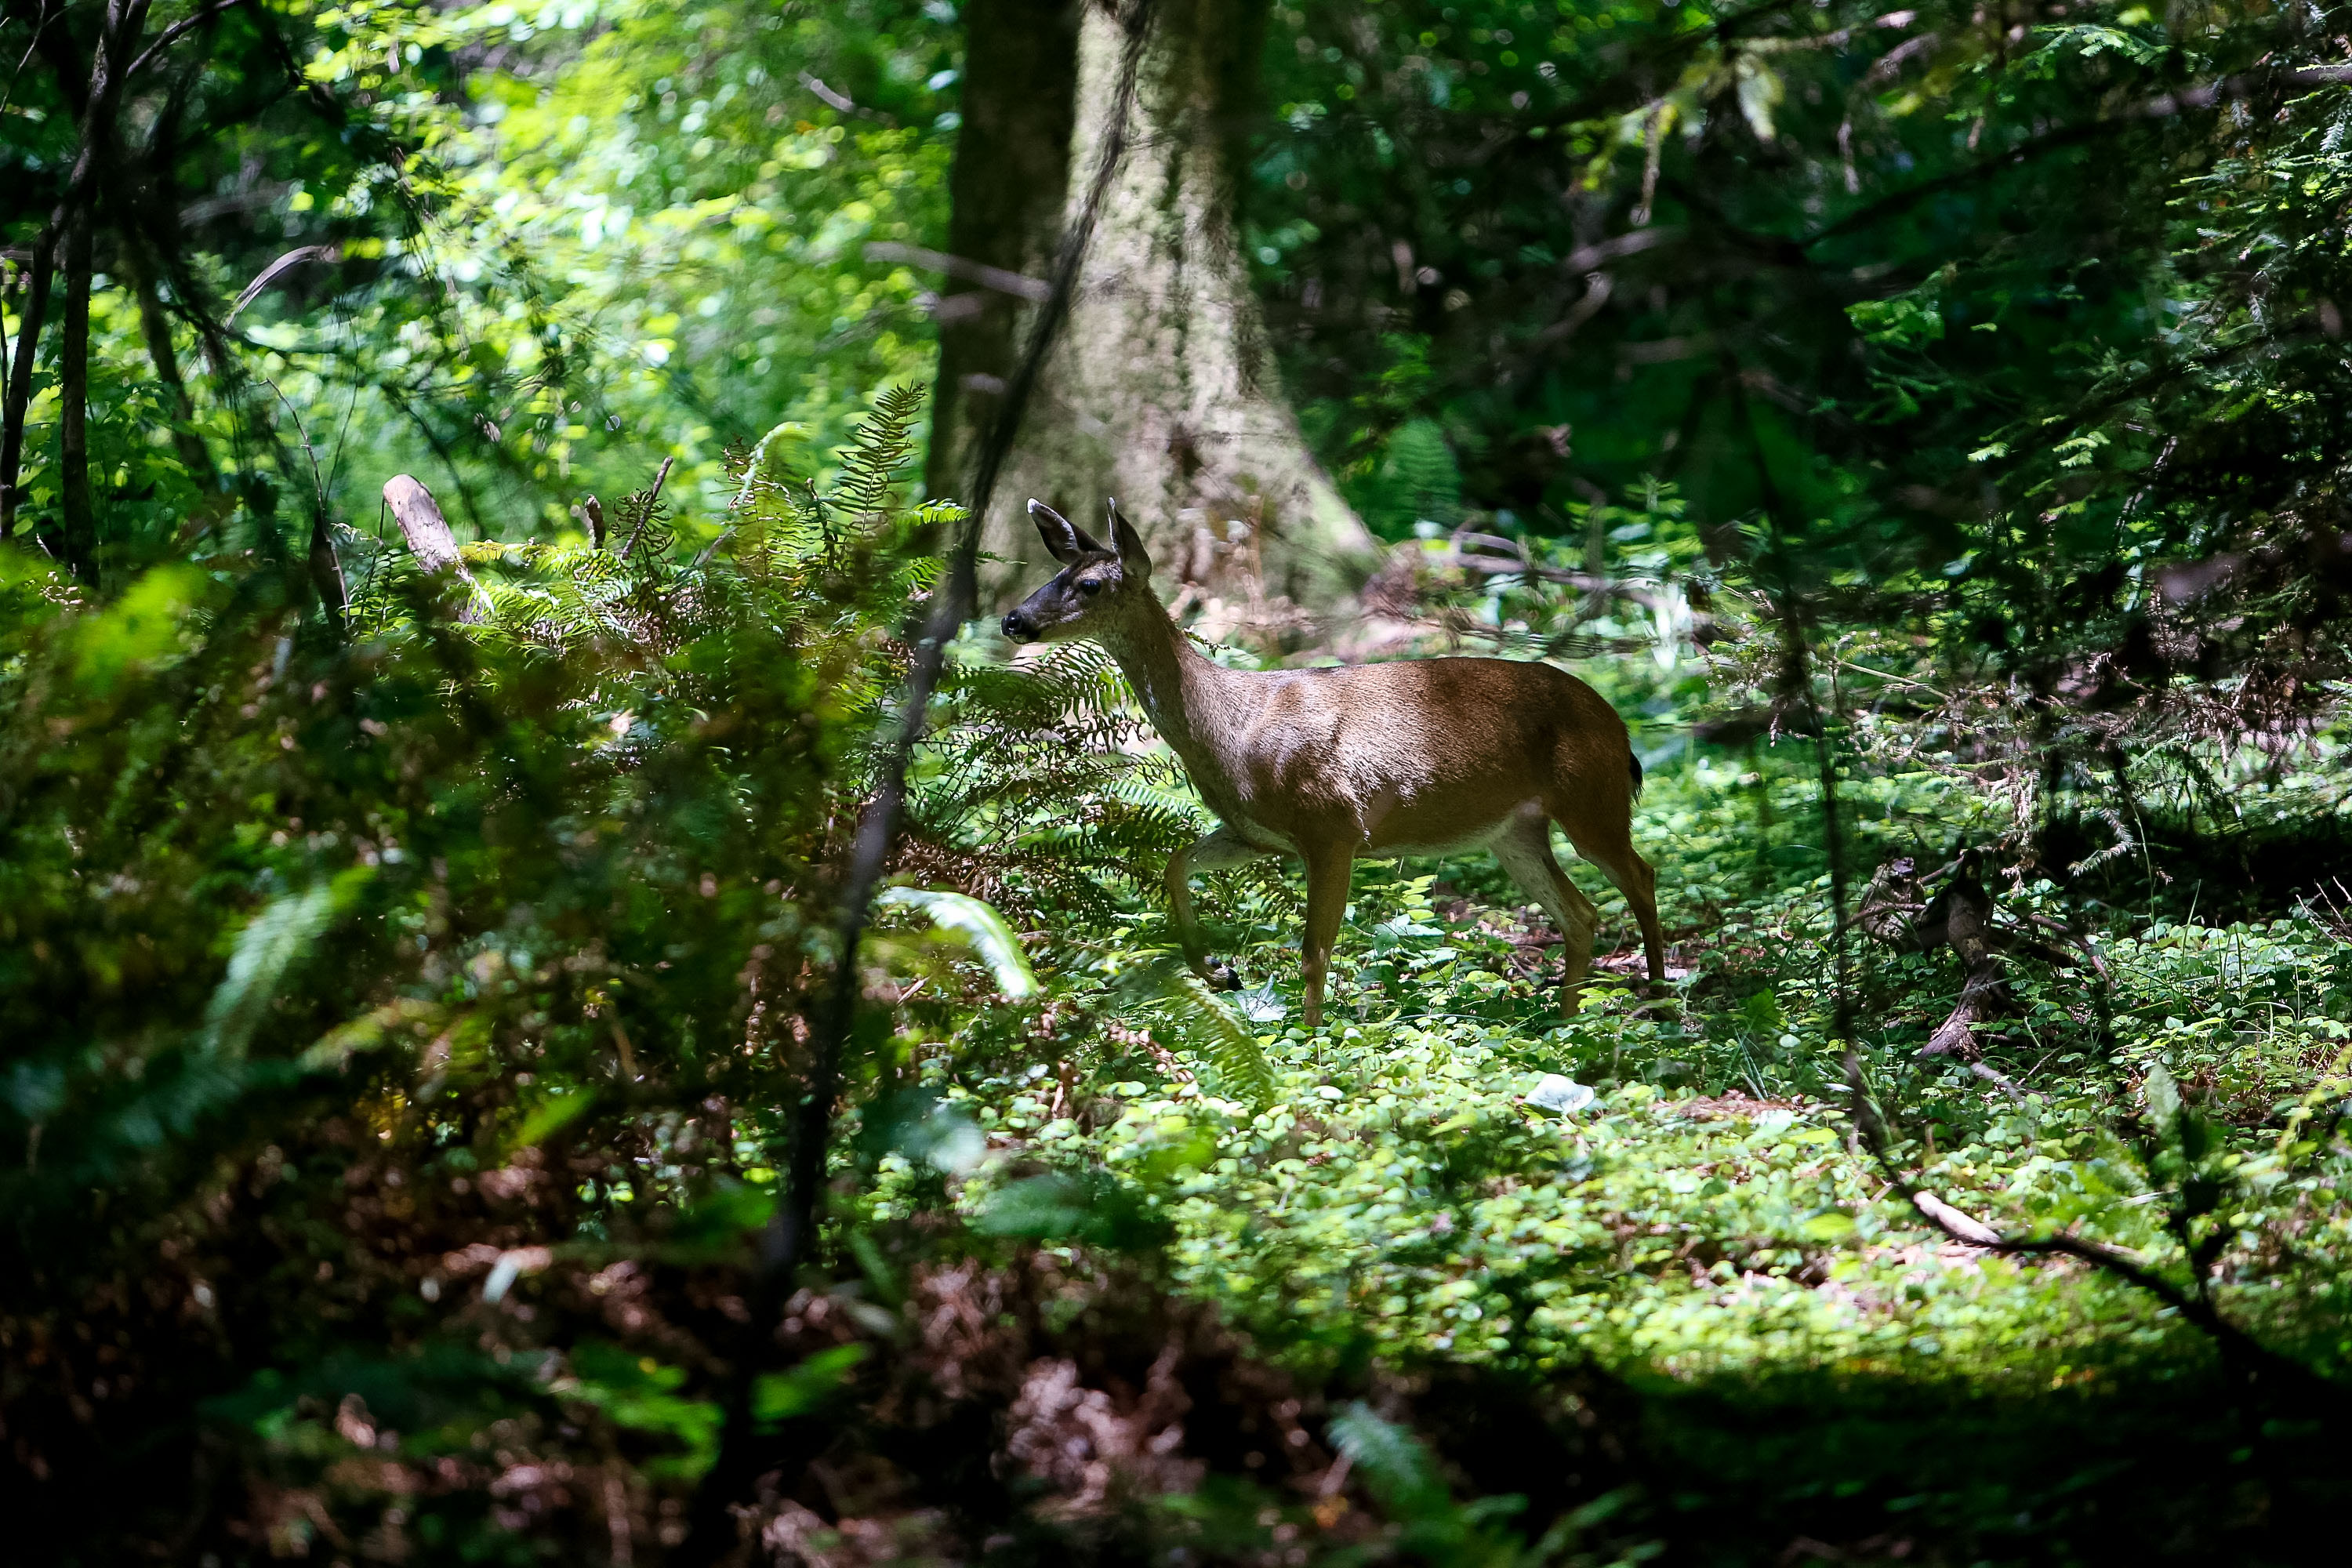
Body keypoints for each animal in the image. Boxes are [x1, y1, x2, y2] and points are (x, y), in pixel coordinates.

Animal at [1000, 498, 1666, 1030]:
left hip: (1590, 796)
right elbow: (1175, 864)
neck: (1231, 731)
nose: (1013, 619)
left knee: (1640, 875)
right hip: (1515, 830)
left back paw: (1658, 1005)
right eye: (1056, 572)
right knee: (1580, 914)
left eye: (1090, 585)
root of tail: (1616, 725)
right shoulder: (1258, 834)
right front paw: (1218, 971)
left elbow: (1313, 950)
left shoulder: (1333, 824)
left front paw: (1311, 1043)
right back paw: (1565, 1023)